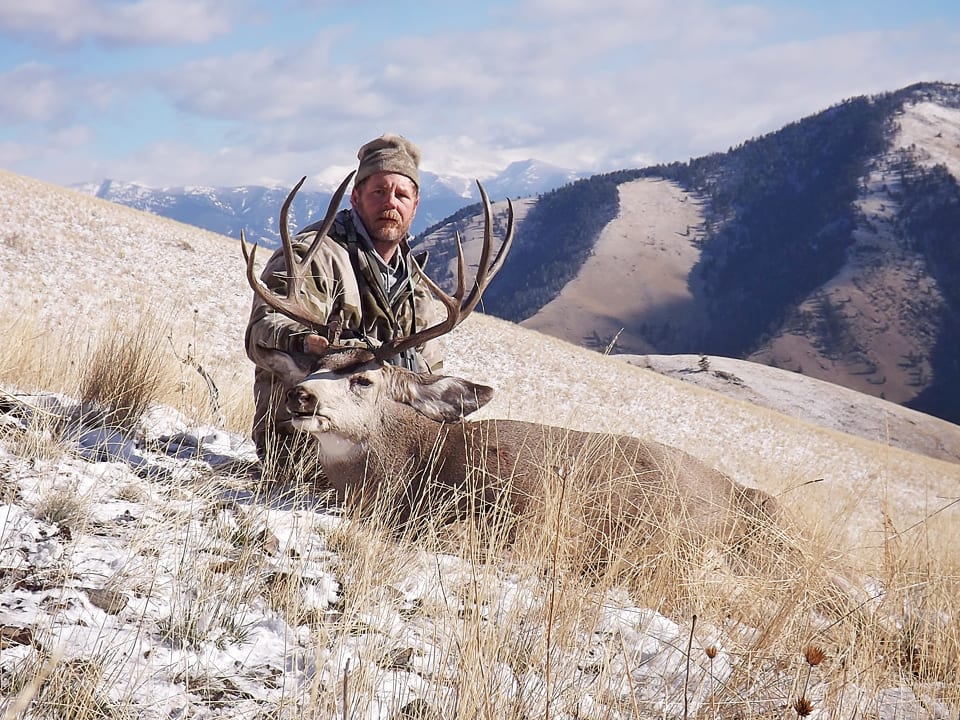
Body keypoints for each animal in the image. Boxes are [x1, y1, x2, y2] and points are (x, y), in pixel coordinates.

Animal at [240, 175, 788, 571]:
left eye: (364, 380)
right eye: (315, 365)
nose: (301, 397)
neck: (420, 468)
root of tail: (752, 497)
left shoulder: (536, 508)